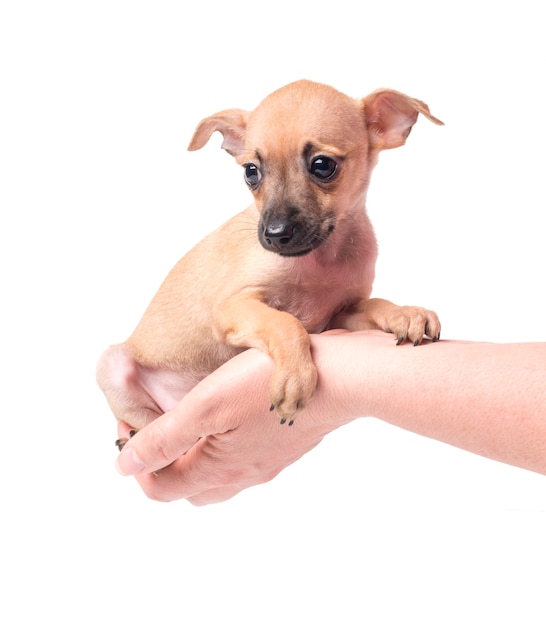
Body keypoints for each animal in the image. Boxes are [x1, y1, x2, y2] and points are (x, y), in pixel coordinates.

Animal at [95, 78, 440, 442]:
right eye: (251, 172)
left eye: (322, 165)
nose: (275, 234)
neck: (322, 260)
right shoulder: (232, 307)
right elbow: (285, 322)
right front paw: (295, 379)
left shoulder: (338, 316)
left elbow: (375, 303)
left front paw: (406, 313)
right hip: (112, 366)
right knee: (148, 420)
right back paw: (134, 435)